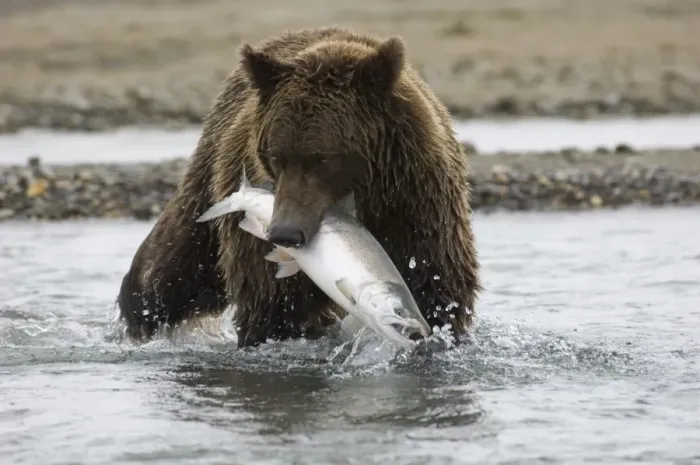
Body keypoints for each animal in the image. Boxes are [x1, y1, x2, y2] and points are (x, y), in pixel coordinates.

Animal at [117, 26, 482, 348]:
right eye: (276, 156)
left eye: (324, 159)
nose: (284, 233)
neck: (367, 195)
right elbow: (274, 308)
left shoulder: (417, 204)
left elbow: (438, 289)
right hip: (210, 180)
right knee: (168, 268)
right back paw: (137, 311)